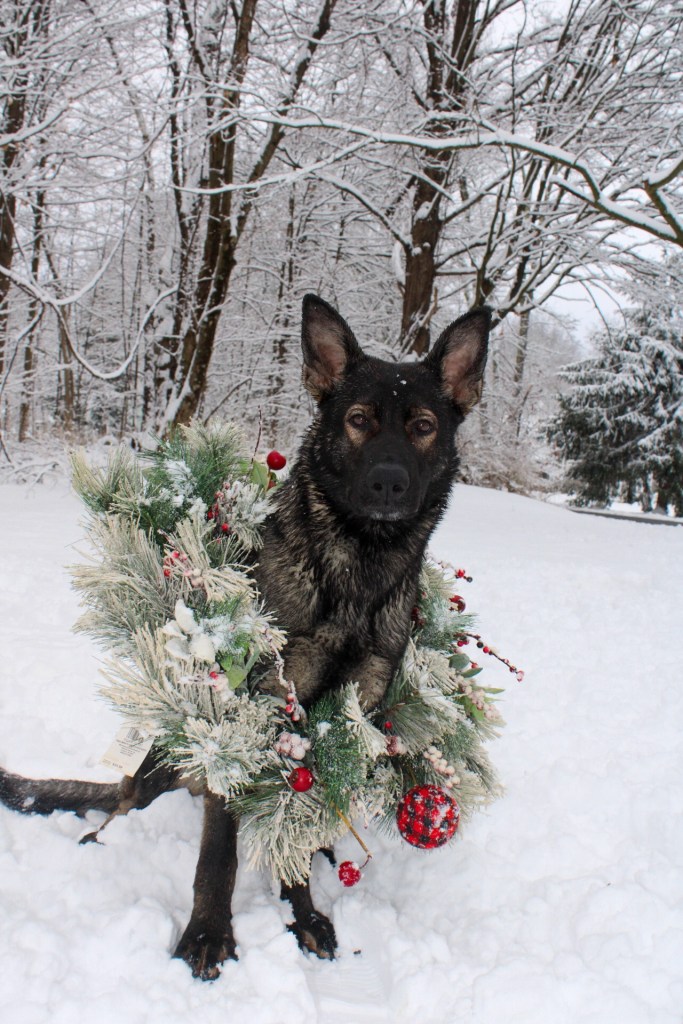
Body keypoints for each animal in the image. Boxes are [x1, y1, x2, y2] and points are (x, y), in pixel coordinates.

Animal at [0, 294, 490, 979]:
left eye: (422, 425)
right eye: (359, 420)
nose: (389, 482)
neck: (358, 569)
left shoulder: (343, 722)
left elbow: (294, 821)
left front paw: (304, 911)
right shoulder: (246, 718)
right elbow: (220, 850)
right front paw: (208, 932)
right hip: (161, 760)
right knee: (122, 805)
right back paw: (100, 839)